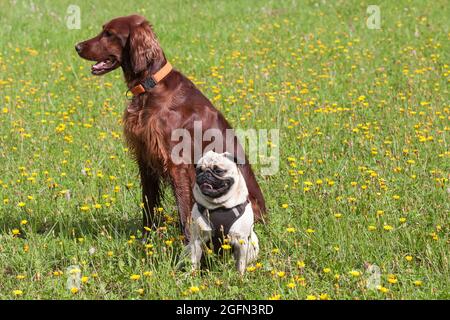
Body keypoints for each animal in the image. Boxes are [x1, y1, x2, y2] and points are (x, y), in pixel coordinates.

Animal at [75, 15, 266, 240]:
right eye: (103, 30)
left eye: (109, 34)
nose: (77, 46)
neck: (151, 86)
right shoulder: (145, 157)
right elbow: (148, 204)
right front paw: (146, 240)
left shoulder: (177, 164)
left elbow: (184, 211)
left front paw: (186, 245)